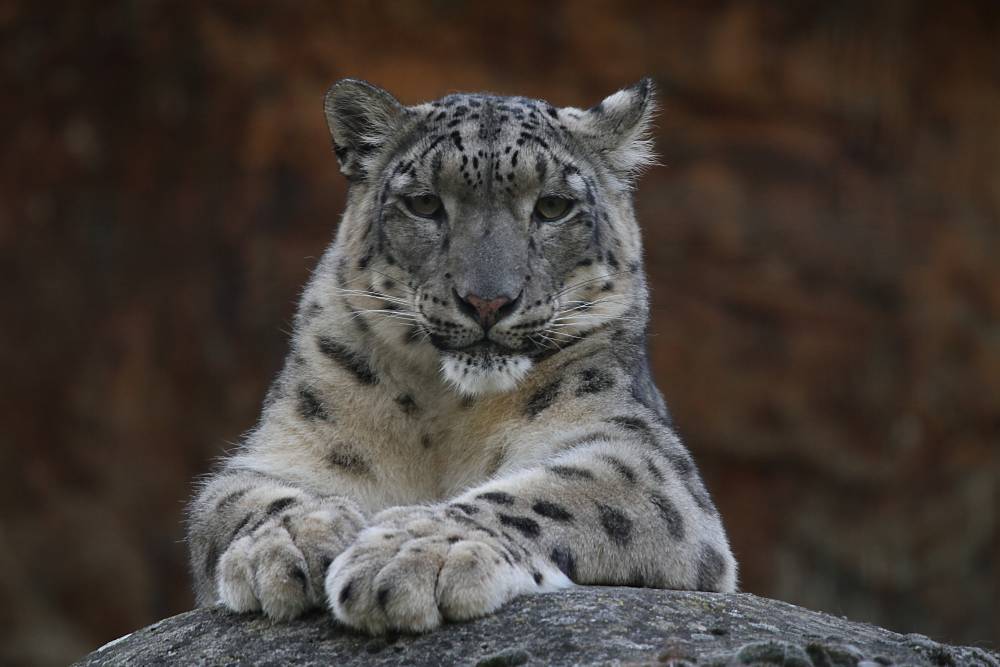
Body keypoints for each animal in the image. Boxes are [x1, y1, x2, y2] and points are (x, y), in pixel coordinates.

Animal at [186, 75, 736, 636]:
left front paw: (410, 554)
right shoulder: (289, 443)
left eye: (553, 206)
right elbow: (239, 497)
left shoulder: (636, 451)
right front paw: (289, 542)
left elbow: (551, 494)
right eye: (425, 204)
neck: (445, 413)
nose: (487, 301)